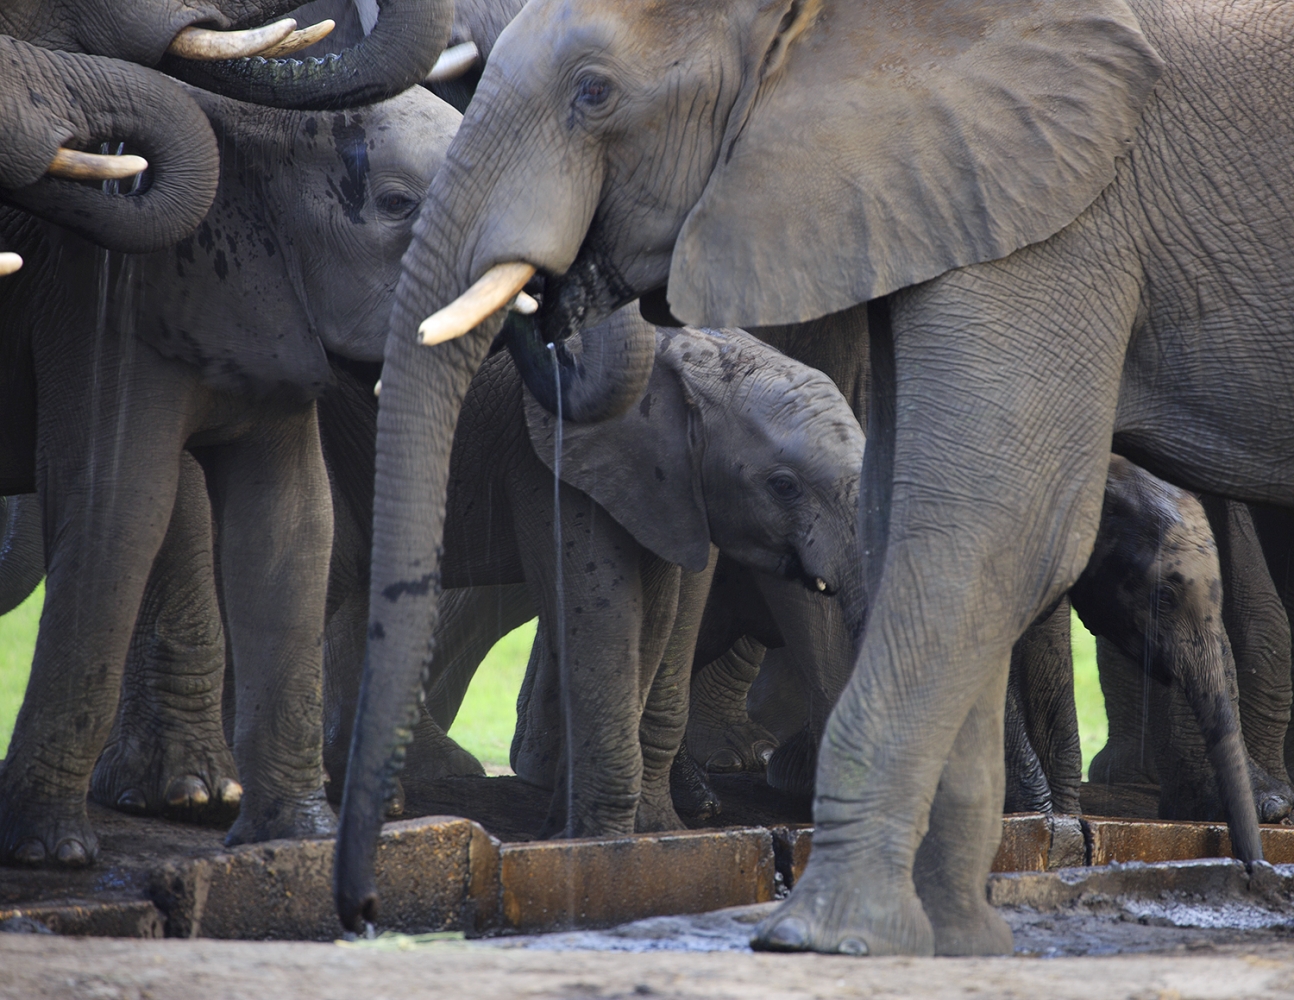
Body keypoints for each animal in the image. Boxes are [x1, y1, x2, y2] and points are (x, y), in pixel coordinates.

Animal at [336, 0, 1294, 957]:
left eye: (593, 94)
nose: (365, 914)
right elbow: (928, 519)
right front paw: (940, 939)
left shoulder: (1063, 216)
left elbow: (989, 530)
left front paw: (833, 935)